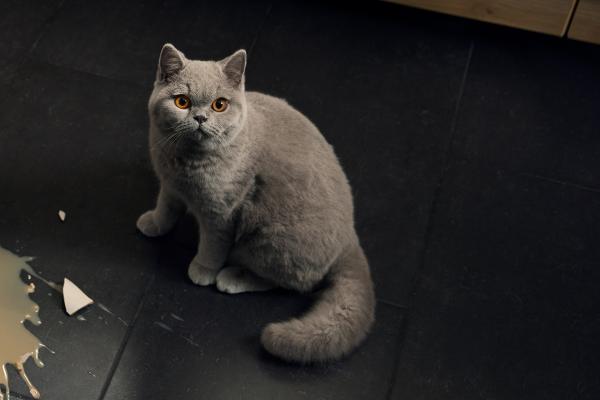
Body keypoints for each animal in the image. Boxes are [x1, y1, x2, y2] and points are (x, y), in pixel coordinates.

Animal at [138, 44, 378, 362]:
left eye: (219, 105)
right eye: (182, 101)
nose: (200, 118)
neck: (185, 164)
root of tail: (351, 239)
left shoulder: (221, 214)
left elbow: (213, 245)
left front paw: (202, 269)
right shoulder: (170, 185)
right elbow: (166, 207)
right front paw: (153, 224)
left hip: (268, 243)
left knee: (288, 282)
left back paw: (231, 277)